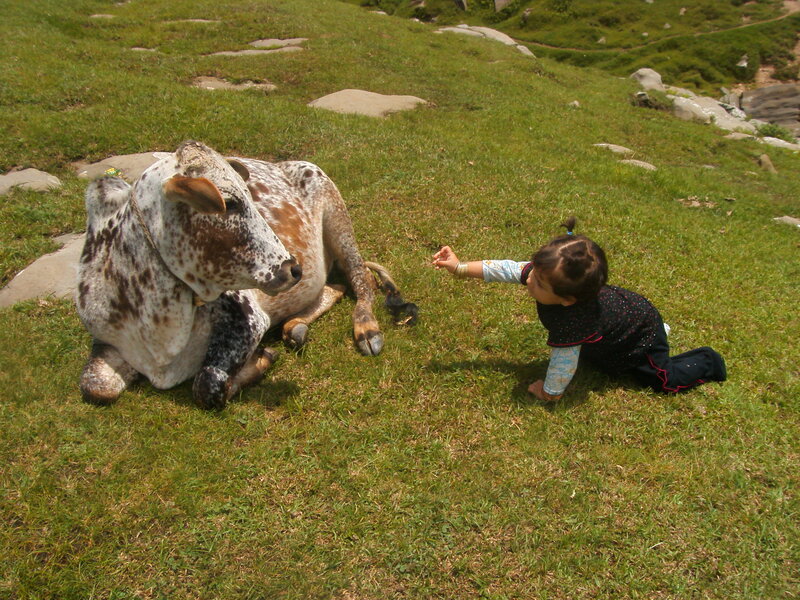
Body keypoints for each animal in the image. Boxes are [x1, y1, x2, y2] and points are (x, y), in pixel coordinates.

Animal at [76, 140, 417, 409]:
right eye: (227, 202)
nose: (293, 267)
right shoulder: (106, 341)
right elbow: (95, 387)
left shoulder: (249, 317)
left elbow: (207, 385)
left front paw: (262, 359)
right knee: (334, 286)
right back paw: (295, 327)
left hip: (336, 215)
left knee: (362, 279)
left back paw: (366, 329)